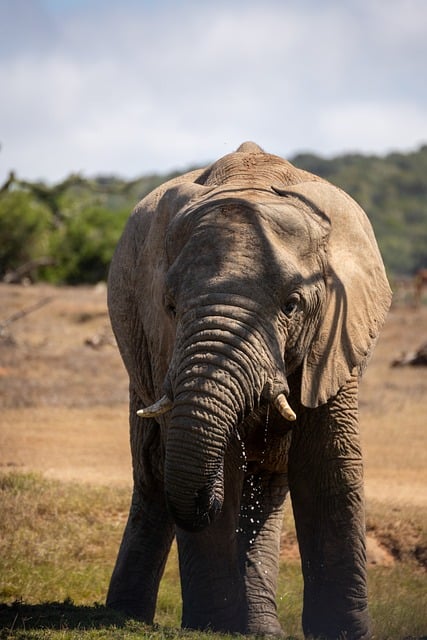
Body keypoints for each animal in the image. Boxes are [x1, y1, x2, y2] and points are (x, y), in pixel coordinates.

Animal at [106, 141, 392, 638]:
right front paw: (212, 628)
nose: (207, 500)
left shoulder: (335, 335)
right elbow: (218, 460)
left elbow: (327, 463)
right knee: (152, 473)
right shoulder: (162, 341)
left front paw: (343, 631)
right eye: (170, 306)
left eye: (292, 305)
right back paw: (123, 617)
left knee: (270, 483)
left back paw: (260, 628)